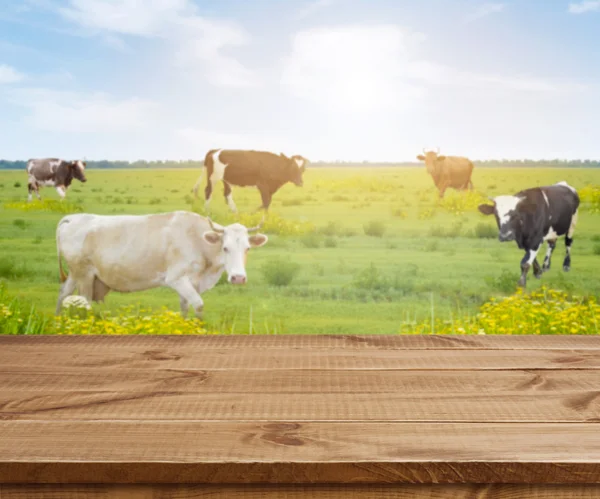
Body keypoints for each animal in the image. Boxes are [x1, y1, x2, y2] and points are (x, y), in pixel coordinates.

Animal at [55, 211, 268, 316]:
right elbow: (198, 305)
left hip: (75, 273)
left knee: (63, 293)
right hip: (85, 276)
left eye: (247, 248)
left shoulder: (192, 283)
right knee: (83, 301)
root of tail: (72, 217)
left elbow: (185, 308)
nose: (238, 278)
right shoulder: (176, 278)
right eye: (225, 248)